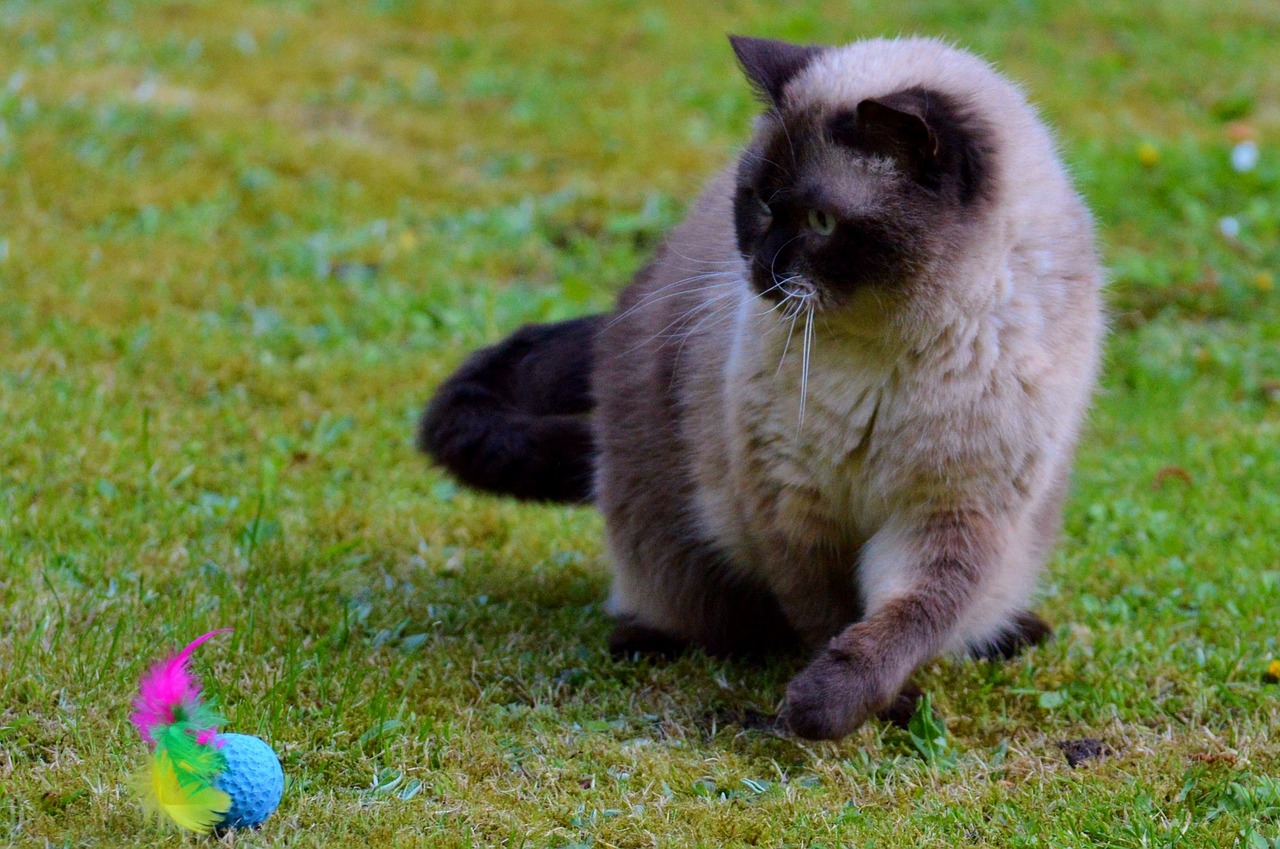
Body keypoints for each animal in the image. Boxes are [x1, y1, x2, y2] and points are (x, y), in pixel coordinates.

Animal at [419, 34, 1100, 737]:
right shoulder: (794, 511)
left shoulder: (951, 516)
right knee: (669, 601)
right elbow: (827, 612)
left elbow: (906, 620)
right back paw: (653, 640)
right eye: (760, 203)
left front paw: (835, 705)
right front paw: (849, 709)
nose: (760, 271)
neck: (889, 352)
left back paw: (1012, 635)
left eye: (822, 222)